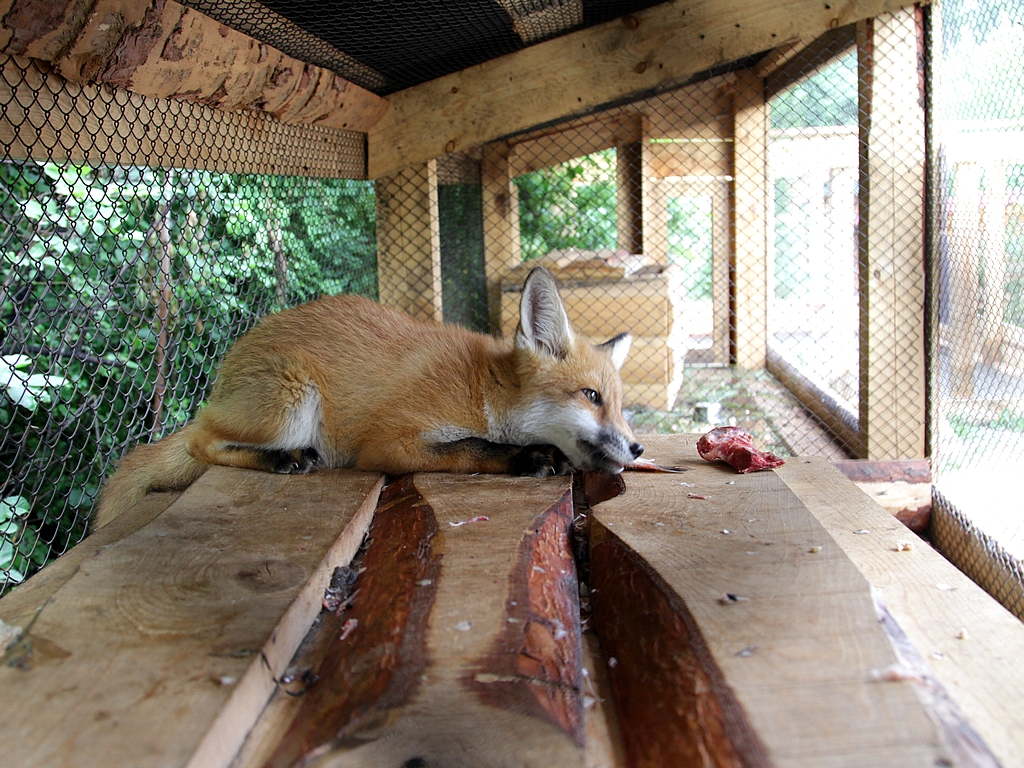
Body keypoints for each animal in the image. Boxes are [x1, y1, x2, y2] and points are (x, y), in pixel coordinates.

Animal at [94, 266, 638, 528]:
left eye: (619, 405)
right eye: (591, 396)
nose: (637, 448)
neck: (485, 388)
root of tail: (230, 365)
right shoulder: (389, 442)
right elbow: (473, 448)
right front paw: (529, 457)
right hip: (289, 406)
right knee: (199, 441)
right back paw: (281, 459)